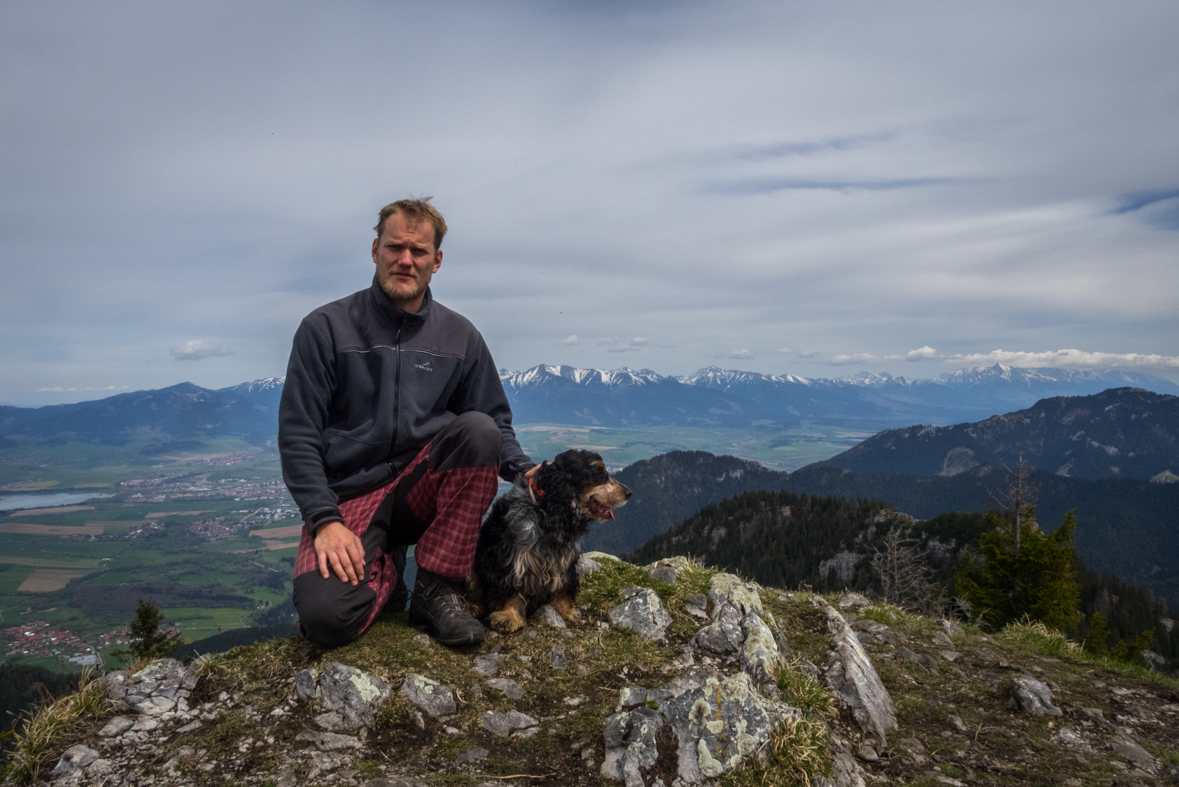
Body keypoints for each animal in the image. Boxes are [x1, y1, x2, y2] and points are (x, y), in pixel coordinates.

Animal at [471, 447, 631, 631]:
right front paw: (509, 616)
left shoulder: (566, 559)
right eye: (598, 472)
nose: (629, 493)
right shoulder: (513, 559)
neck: (546, 508)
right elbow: (511, 586)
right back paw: (473, 606)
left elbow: (563, 585)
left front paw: (565, 612)